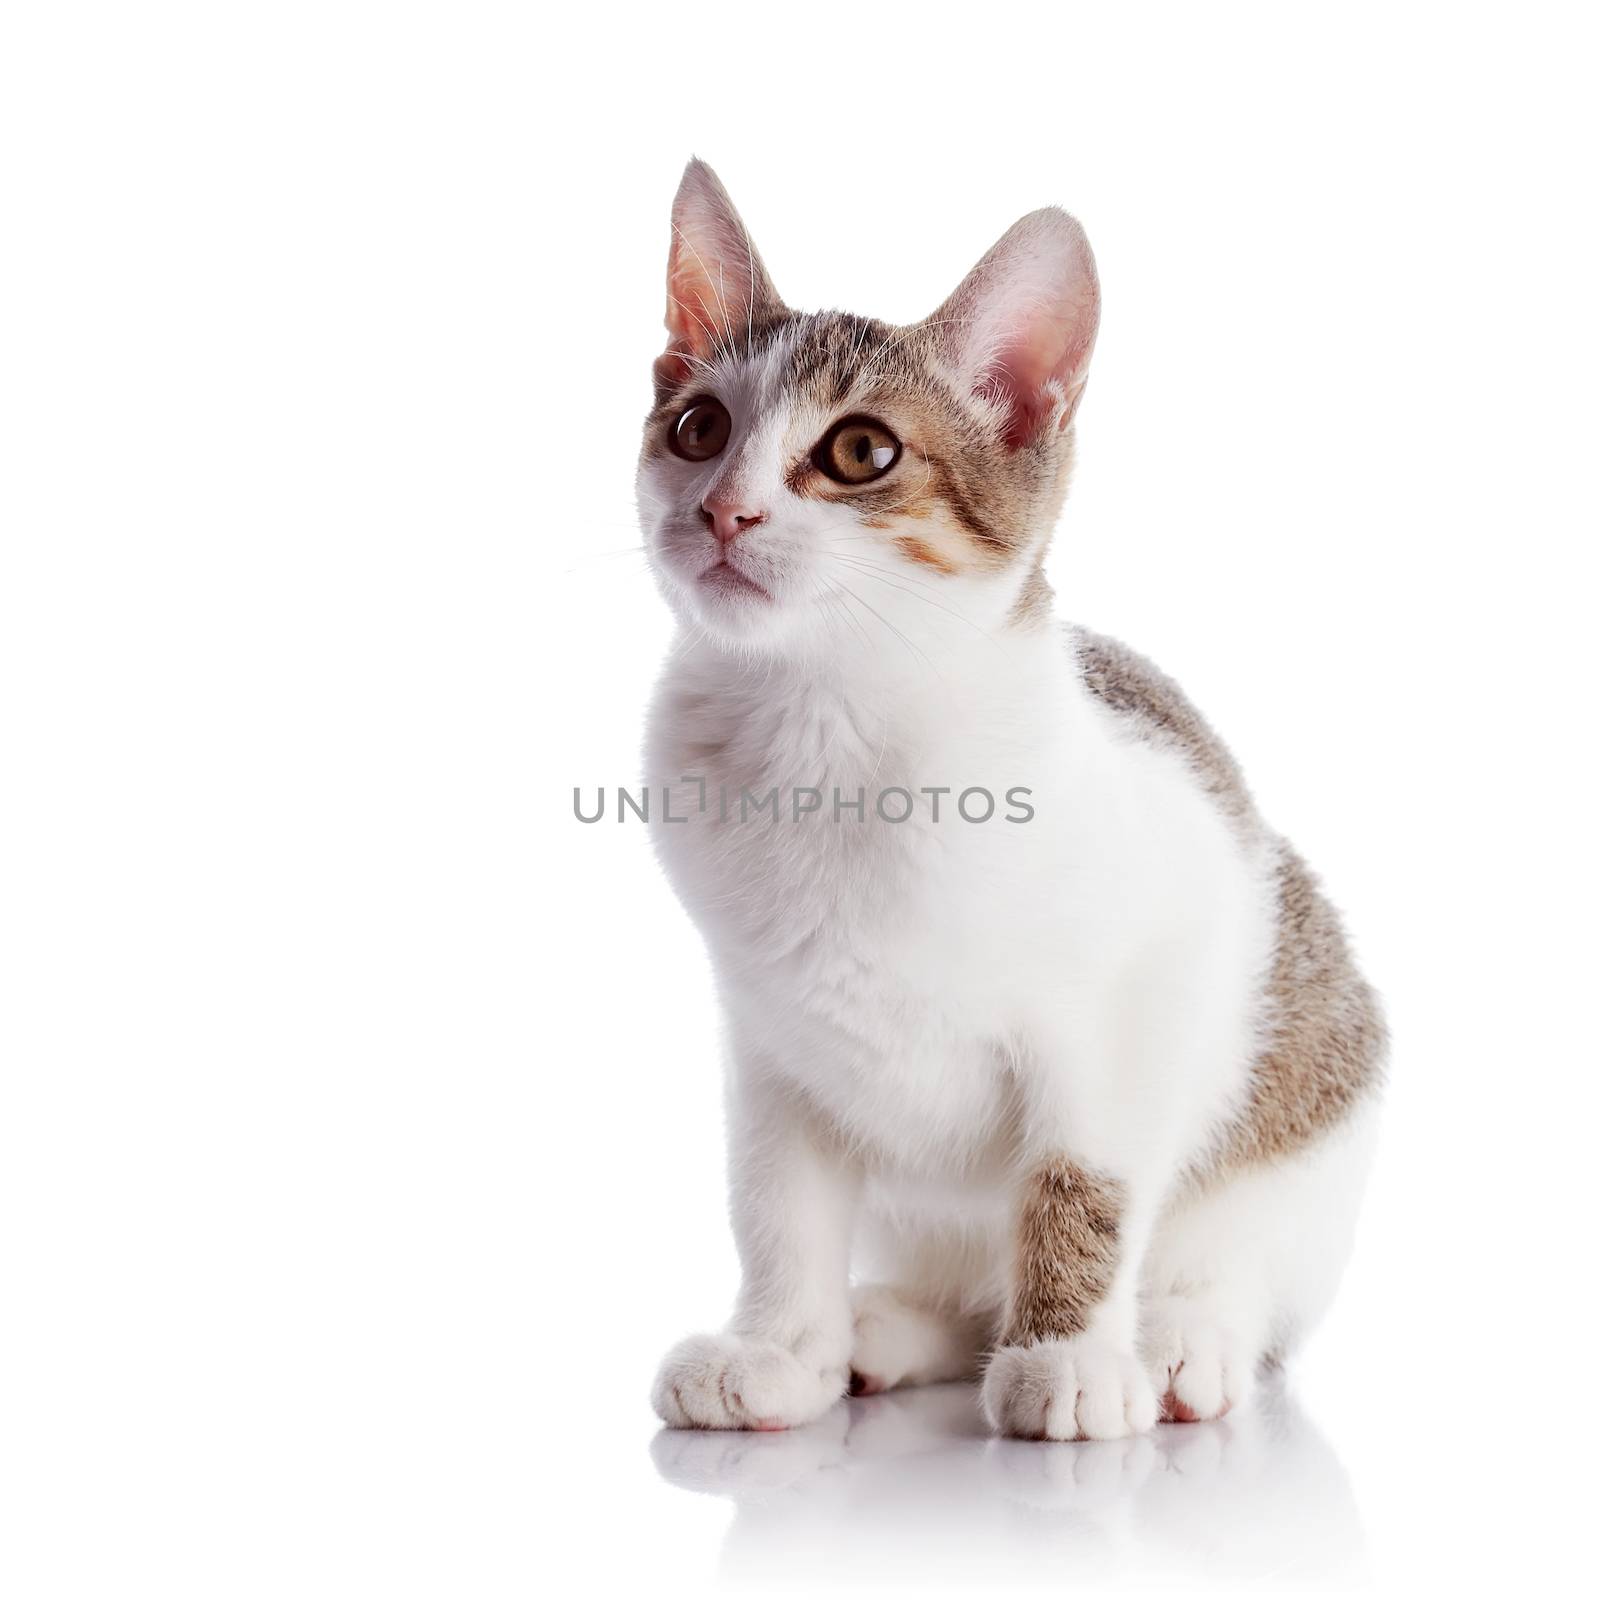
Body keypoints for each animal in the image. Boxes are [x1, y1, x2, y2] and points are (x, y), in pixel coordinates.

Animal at [636, 159, 1388, 1440]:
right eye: (698, 429)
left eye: (859, 452)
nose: (722, 510)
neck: (829, 736)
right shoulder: (769, 1038)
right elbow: (777, 1203)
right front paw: (780, 1348)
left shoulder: (1140, 991)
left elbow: (1080, 1178)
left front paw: (1071, 1357)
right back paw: (890, 1329)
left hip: (1313, 1099)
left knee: (1238, 1261)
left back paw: (1179, 1337)